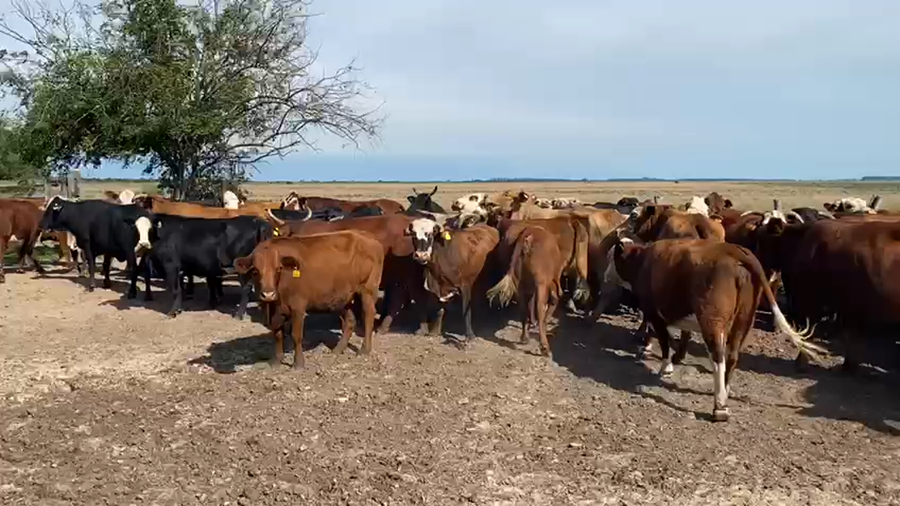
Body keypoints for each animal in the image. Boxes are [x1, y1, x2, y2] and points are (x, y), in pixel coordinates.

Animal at [141, 214, 273, 317]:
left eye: (150, 228)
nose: (143, 243)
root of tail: (258, 221)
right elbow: (179, 289)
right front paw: (178, 309)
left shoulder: (170, 266)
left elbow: (175, 290)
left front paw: (172, 312)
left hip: (242, 269)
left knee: (246, 289)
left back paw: (239, 315)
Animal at [233, 231, 384, 369]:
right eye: (255, 271)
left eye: (278, 269)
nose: (268, 294)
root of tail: (366, 236)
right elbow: (277, 334)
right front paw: (276, 360)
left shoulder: (298, 307)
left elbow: (296, 335)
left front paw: (298, 363)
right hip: (344, 297)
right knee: (350, 321)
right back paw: (337, 349)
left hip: (367, 290)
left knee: (369, 315)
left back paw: (364, 350)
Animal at [486, 225, 565, 357]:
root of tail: (528, 236)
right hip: (539, 284)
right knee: (539, 309)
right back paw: (544, 347)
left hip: (519, 285)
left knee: (523, 310)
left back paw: (525, 337)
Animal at [610, 237, 825, 421]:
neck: (642, 260)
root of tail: (733, 250)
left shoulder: (654, 313)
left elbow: (663, 340)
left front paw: (665, 367)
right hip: (744, 320)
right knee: (732, 356)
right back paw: (725, 391)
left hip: (712, 320)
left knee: (718, 356)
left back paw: (719, 406)